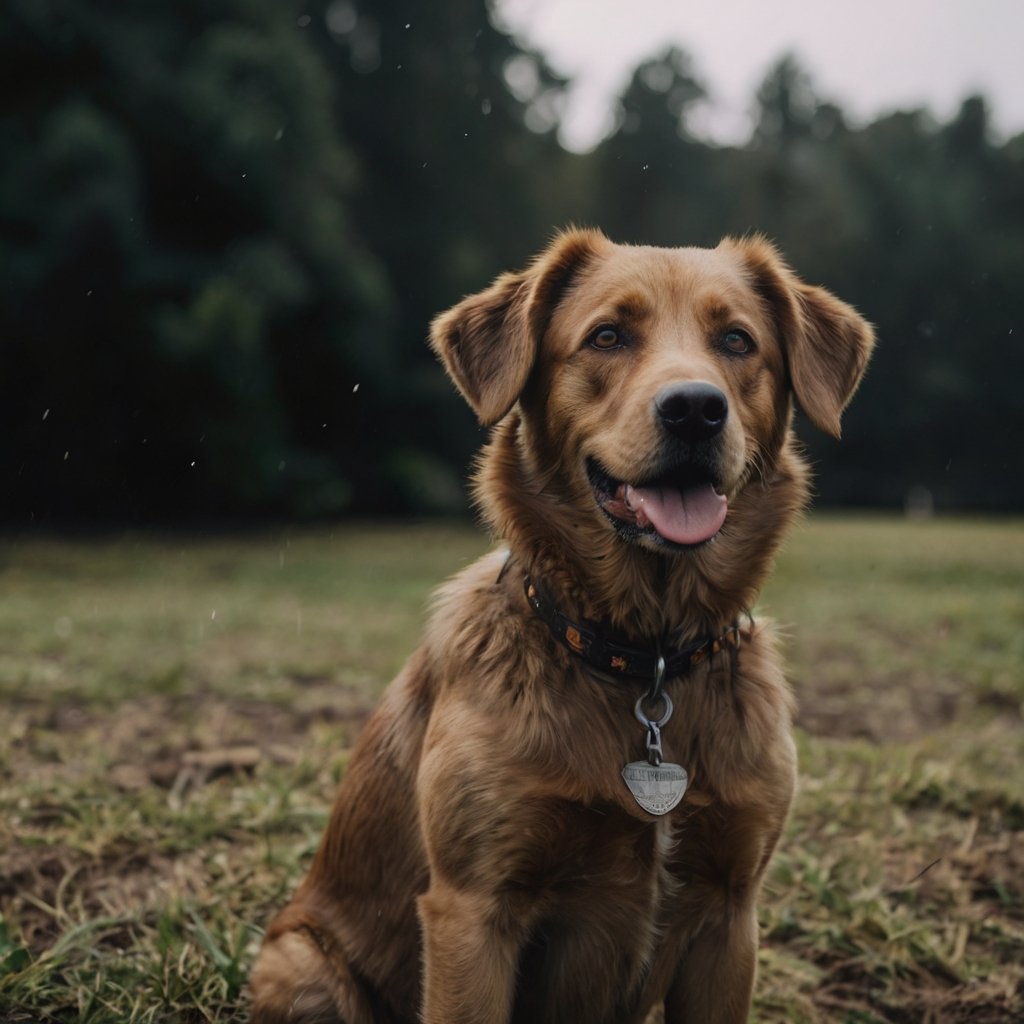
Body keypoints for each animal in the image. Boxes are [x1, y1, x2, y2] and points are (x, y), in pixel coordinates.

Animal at [247, 232, 872, 1024]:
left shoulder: (731, 915)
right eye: (607, 336)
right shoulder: (473, 911)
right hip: (300, 966)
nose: (695, 410)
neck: (647, 658)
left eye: (737, 340)